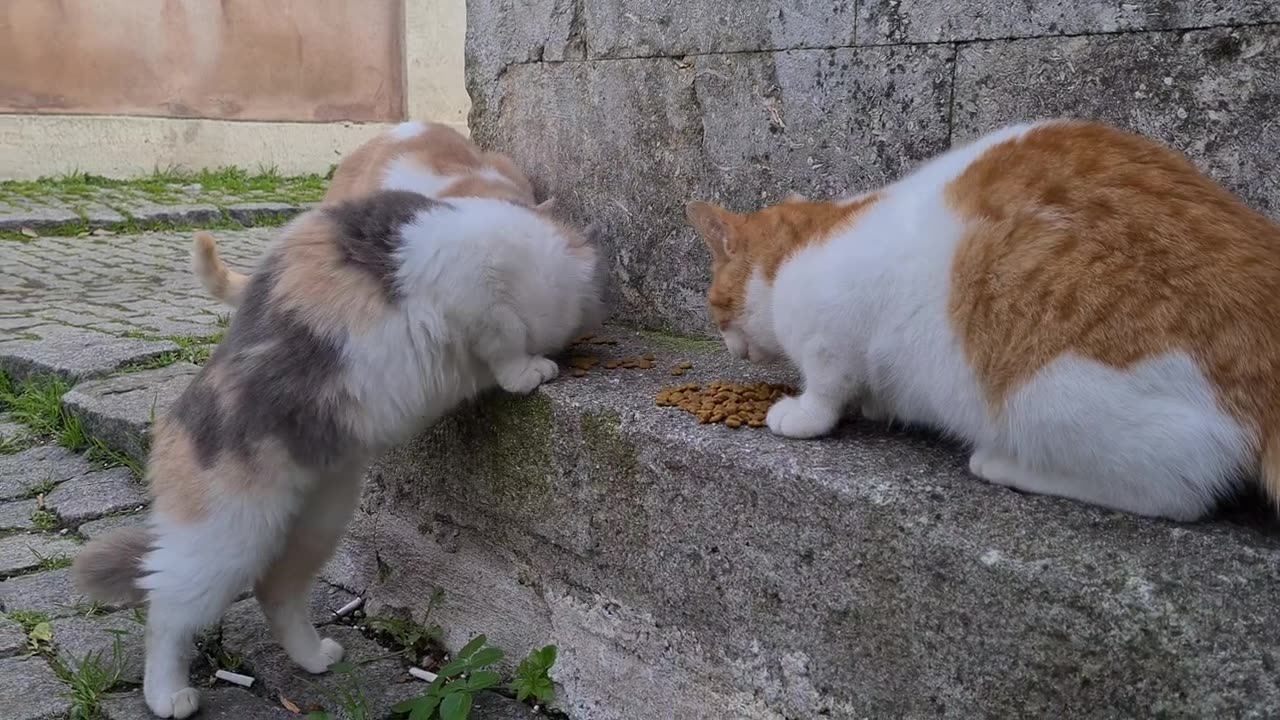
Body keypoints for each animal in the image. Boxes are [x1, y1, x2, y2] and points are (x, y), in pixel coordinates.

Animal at [73, 188, 604, 712]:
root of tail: (169, 425)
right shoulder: (467, 283)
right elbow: (506, 339)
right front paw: (530, 371)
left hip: (315, 524)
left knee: (275, 593)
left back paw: (314, 658)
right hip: (225, 542)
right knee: (166, 610)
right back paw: (167, 695)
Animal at [686, 120, 1280, 517]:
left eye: (714, 306)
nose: (730, 347)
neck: (800, 249)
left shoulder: (832, 334)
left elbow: (827, 386)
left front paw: (803, 414)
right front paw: (876, 405)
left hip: (1056, 394)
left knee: (1175, 492)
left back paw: (1005, 464)